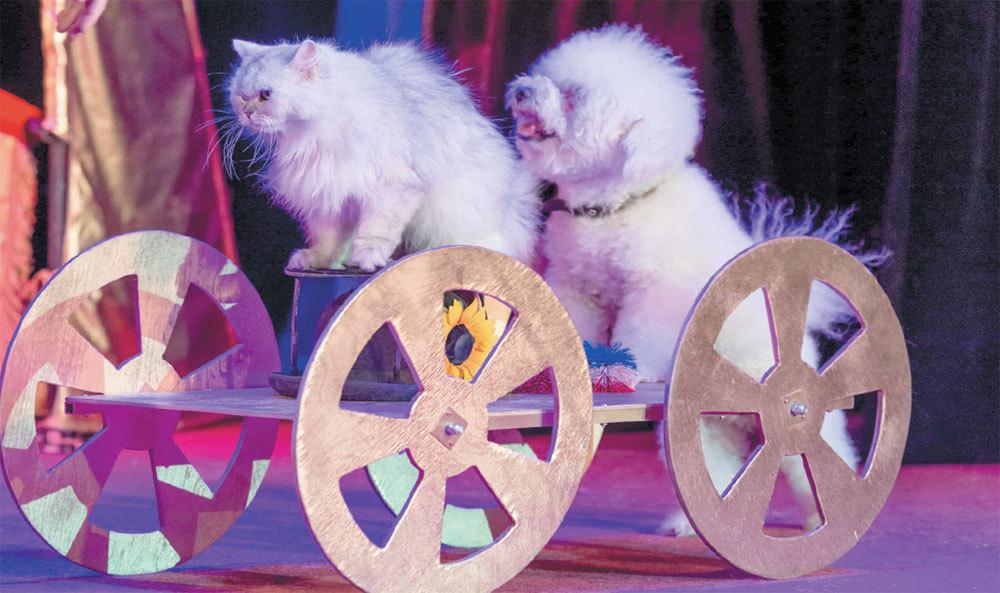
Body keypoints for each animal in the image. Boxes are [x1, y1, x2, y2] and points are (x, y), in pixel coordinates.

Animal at [226, 38, 540, 271]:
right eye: (241, 96)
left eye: (265, 95)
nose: (247, 113)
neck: (311, 139)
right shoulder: (327, 193)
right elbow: (328, 240)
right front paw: (317, 261)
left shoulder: (392, 188)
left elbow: (375, 230)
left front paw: (367, 257)